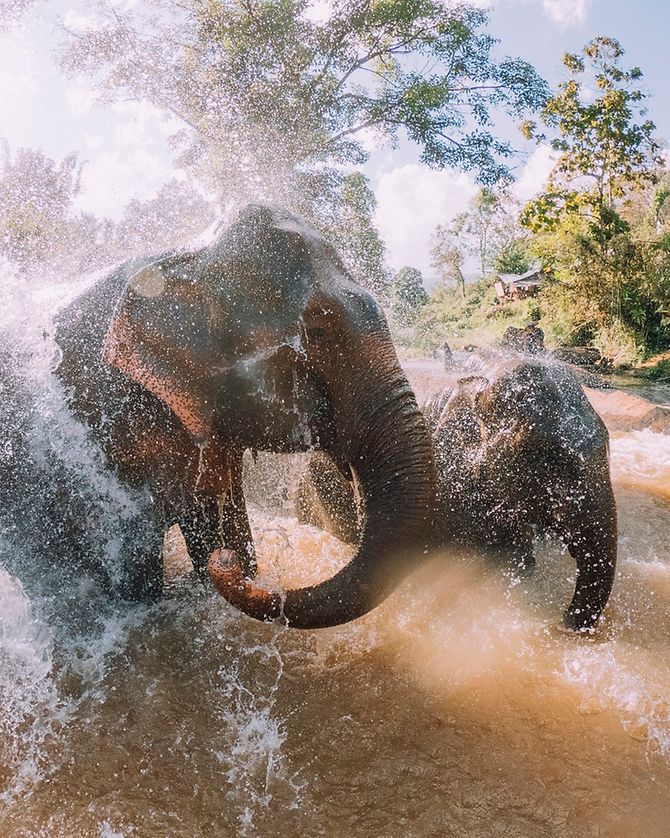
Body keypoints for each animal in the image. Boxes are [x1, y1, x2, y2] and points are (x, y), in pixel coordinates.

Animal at [40, 207, 436, 632]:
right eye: (317, 332)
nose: (224, 562)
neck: (191, 256)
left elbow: (221, 520)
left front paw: (227, 557)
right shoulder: (104, 423)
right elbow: (135, 572)